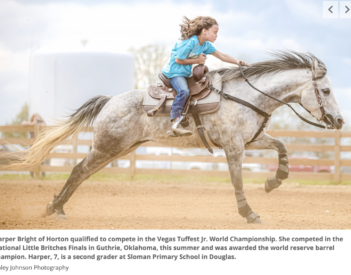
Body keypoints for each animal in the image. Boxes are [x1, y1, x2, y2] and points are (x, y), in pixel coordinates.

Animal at [10, 51, 344, 224]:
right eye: (326, 90)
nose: (340, 121)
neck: (247, 96)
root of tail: (109, 101)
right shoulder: (234, 147)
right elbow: (237, 180)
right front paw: (248, 212)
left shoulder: (252, 140)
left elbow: (282, 146)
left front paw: (274, 181)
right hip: (107, 148)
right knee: (78, 170)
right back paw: (55, 208)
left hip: (117, 150)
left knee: (81, 173)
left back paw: (56, 207)